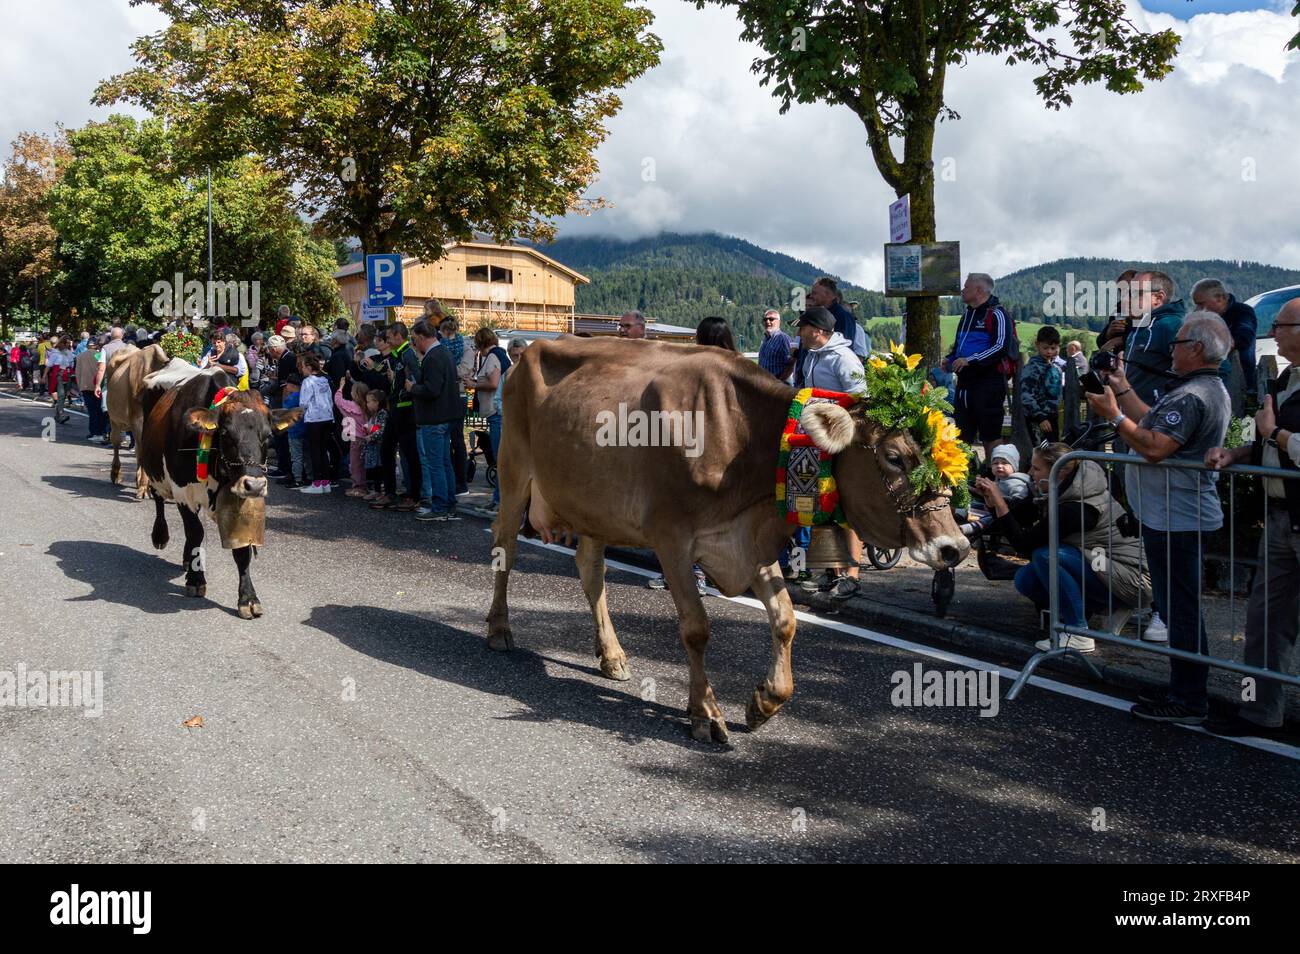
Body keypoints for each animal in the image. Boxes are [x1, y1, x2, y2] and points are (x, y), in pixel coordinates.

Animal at [139, 366, 299, 621]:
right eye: (226, 434)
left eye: (268, 436)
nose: (255, 485)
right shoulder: (183, 492)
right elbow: (195, 532)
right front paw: (196, 581)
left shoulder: (239, 496)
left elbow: (242, 551)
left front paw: (248, 598)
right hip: (153, 466)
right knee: (159, 500)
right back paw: (160, 536)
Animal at [491, 337, 972, 748]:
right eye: (893, 458)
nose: (955, 547)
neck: (744, 440)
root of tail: (530, 348)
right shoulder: (671, 538)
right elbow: (696, 628)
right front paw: (705, 713)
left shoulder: (748, 542)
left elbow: (785, 619)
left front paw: (764, 702)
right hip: (513, 471)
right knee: (504, 551)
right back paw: (499, 629)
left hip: (592, 505)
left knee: (591, 573)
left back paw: (612, 656)